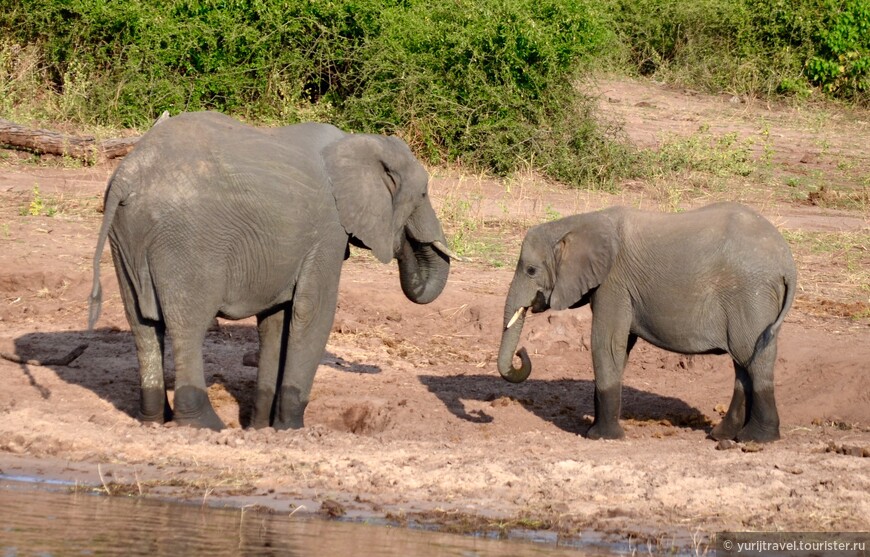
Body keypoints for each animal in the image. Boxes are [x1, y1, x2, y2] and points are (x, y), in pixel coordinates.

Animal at [89, 109, 460, 430]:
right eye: (422, 194)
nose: (406, 245)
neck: (359, 142)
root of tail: (129, 174)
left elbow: (277, 320)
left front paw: (261, 427)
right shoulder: (328, 230)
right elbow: (314, 313)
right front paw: (291, 429)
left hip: (126, 235)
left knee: (142, 324)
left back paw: (153, 419)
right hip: (185, 239)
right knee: (187, 325)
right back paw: (205, 425)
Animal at [498, 203, 796, 444]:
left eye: (531, 270)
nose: (522, 352)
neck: (580, 222)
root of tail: (787, 261)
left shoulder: (613, 283)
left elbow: (607, 344)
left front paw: (601, 437)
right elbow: (620, 349)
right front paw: (597, 431)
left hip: (751, 295)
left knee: (754, 359)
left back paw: (756, 439)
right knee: (744, 361)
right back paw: (722, 436)